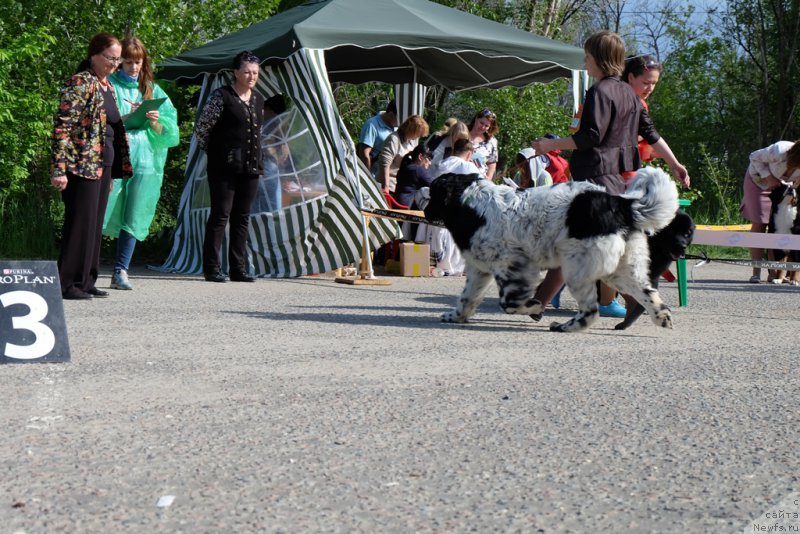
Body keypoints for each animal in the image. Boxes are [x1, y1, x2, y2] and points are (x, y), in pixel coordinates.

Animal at [424, 170, 676, 332]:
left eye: (433, 194)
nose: (424, 211)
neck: (470, 203)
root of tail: (618, 204)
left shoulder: (512, 265)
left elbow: (508, 303)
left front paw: (534, 306)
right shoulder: (480, 269)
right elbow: (467, 298)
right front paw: (455, 317)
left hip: (578, 270)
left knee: (590, 310)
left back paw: (566, 327)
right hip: (620, 270)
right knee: (648, 293)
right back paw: (661, 317)